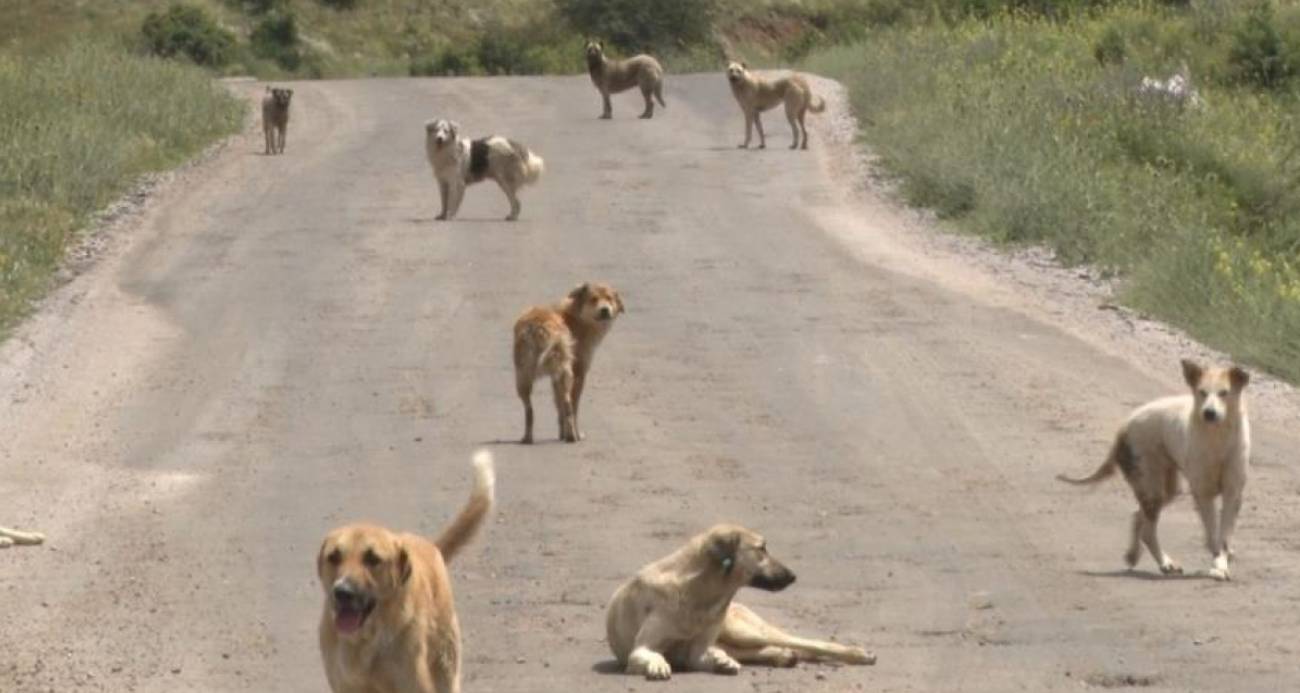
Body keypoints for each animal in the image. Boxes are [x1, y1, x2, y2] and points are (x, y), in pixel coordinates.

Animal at [317, 447, 493, 691]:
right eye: (334, 556)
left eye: (372, 558)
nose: (343, 592)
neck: (366, 639)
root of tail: (431, 545)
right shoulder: (345, 685)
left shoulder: (413, 683)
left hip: (445, 664)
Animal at [512, 280, 624, 442]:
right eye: (594, 299)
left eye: (609, 299)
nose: (605, 310)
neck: (577, 317)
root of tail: (538, 326)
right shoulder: (579, 373)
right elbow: (573, 407)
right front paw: (574, 433)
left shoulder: (555, 377)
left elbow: (559, 408)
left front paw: (561, 434)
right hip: (565, 373)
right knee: (568, 404)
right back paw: (572, 436)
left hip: (523, 376)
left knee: (530, 411)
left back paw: (528, 438)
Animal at [605, 525, 873, 676]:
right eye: (761, 549)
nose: (793, 576)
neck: (699, 593)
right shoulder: (644, 648)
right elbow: (650, 655)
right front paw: (658, 664)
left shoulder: (698, 650)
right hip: (739, 638)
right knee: (773, 649)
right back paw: (780, 656)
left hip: (743, 631)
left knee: (808, 643)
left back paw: (858, 654)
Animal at [1060, 358, 1253, 579]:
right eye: (1202, 392)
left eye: (1223, 393)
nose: (1209, 413)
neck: (1218, 438)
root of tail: (1125, 425)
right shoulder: (1203, 494)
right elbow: (1214, 537)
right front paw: (1218, 566)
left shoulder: (1233, 493)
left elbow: (1223, 538)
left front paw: (1222, 561)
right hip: (1153, 489)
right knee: (1148, 531)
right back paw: (1165, 563)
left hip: (1167, 490)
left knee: (1138, 516)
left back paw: (1134, 554)